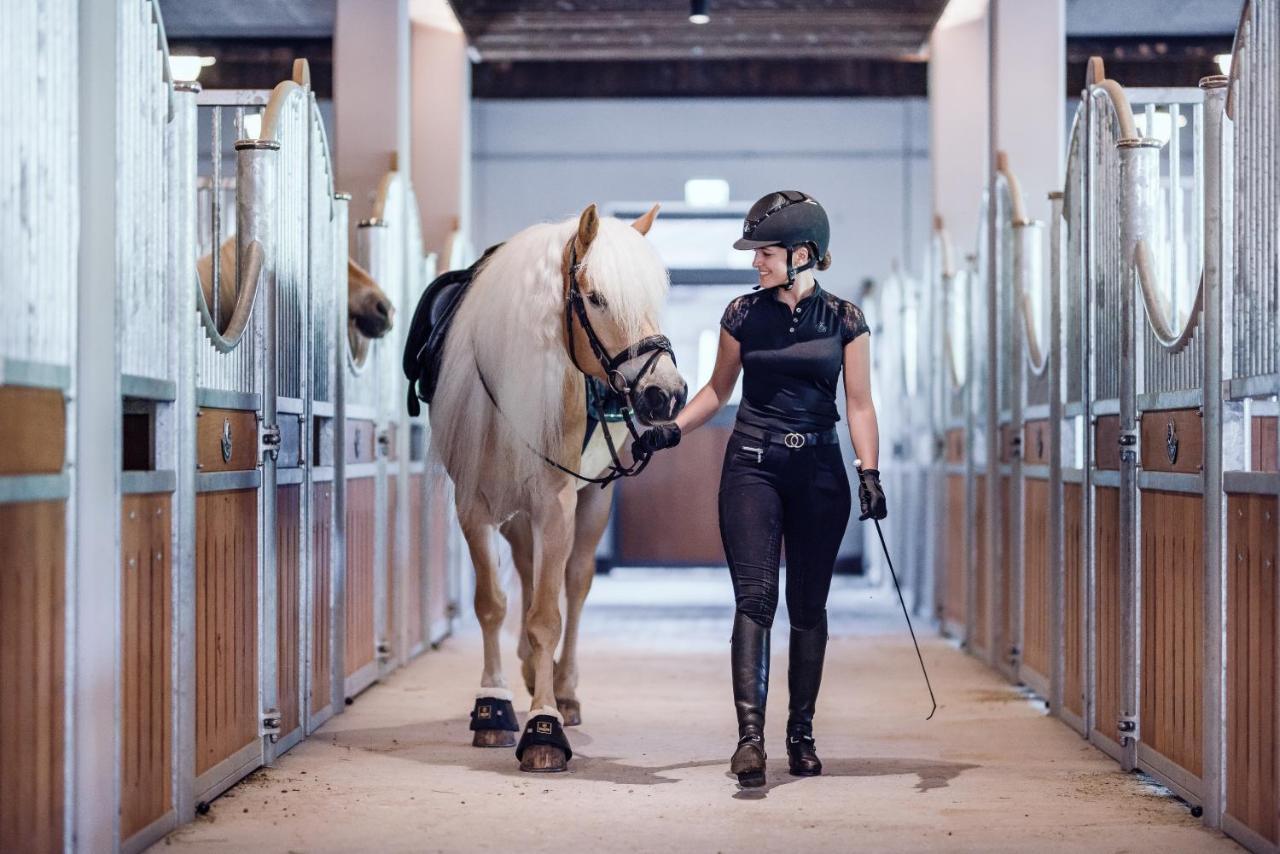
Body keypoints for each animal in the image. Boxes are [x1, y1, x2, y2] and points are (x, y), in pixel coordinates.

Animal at [430, 202, 686, 773]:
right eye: (596, 298)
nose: (667, 395)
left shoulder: (556, 504)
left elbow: (547, 616)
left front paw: (544, 726)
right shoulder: (472, 508)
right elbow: (493, 604)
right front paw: (494, 707)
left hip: (591, 502)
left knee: (575, 582)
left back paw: (565, 691)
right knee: (528, 574)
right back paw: (528, 673)